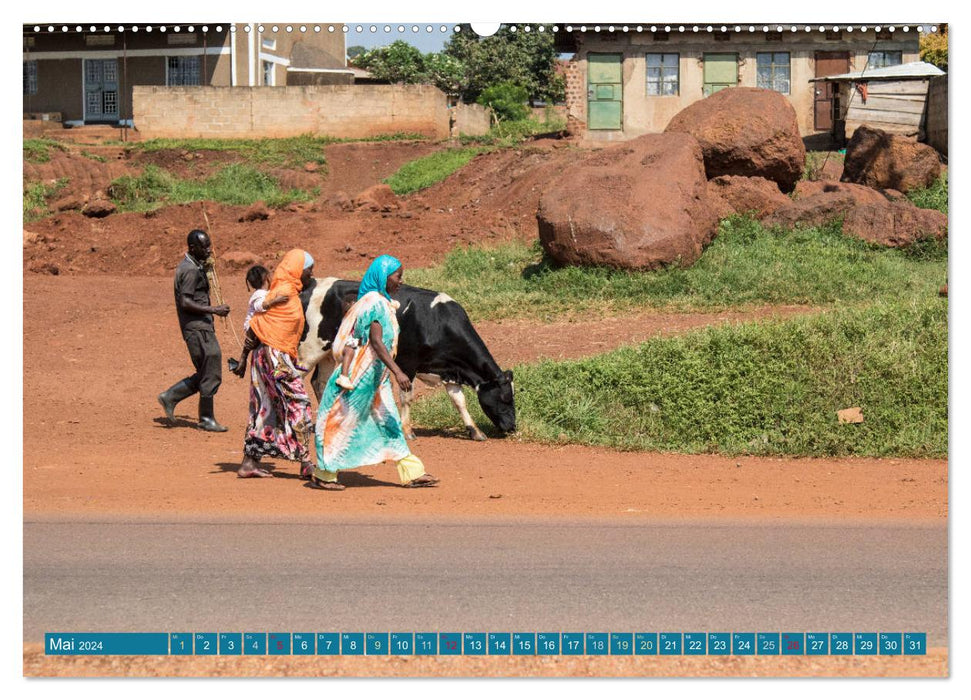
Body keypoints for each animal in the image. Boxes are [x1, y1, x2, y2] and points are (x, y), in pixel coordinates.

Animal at [300, 278, 516, 438]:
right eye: (505, 398)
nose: (512, 427)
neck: (437, 321)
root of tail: (313, 284)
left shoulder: (450, 370)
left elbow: (459, 401)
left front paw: (474, 430)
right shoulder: (407, 363)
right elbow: (406, 397)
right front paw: (407, 430)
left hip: (327, 353)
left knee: (319, 382)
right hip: (310, 348)